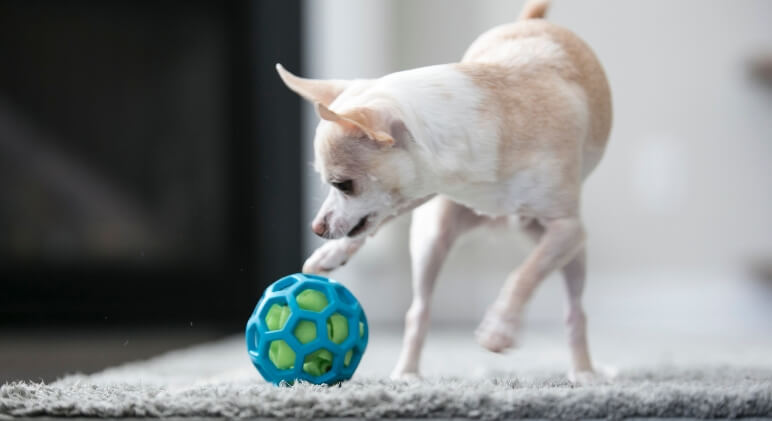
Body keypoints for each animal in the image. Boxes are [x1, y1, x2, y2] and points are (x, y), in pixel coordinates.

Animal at [276, 0, 608, 380]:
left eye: (342, 185)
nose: (317, 227)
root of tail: (533, 21)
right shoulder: (426, 187)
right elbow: (378, 221)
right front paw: (332, 253)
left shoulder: (568, 228)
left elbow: (524, 273)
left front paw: (500, 327)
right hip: (433, 234)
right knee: (418, 310)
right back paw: (407, 373)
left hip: (571, 253)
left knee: (574, 310)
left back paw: (583, 372)